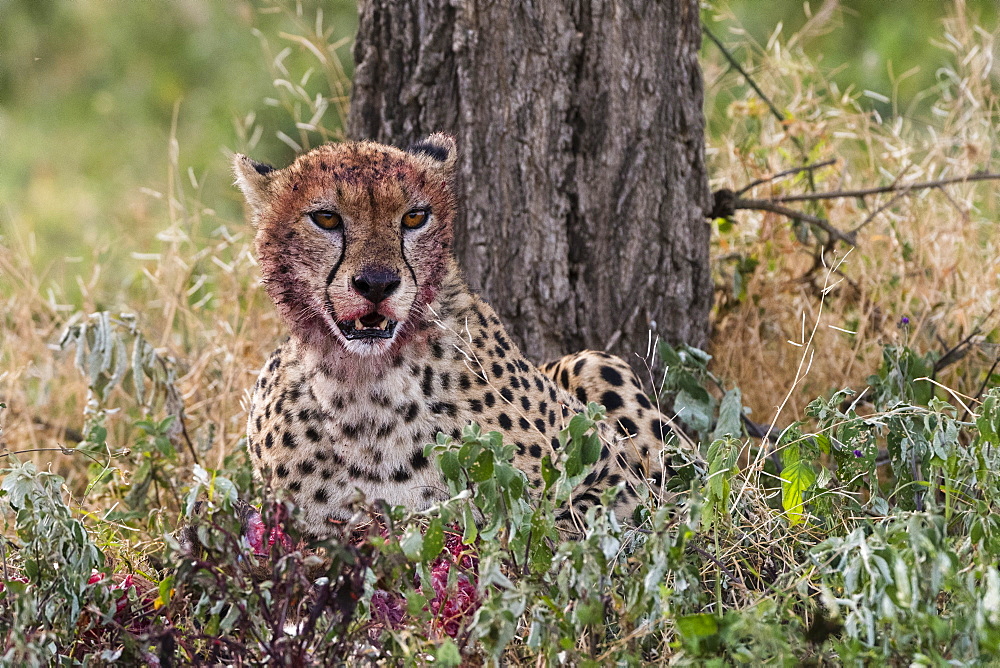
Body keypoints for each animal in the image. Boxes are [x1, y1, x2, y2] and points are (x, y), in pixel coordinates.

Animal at [233, 132, 696, 536]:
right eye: (326, 218)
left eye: (414, 217)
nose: (378, 283)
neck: (365, 384)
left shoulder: (616, 475)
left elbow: (574, 522)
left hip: (594, 363)